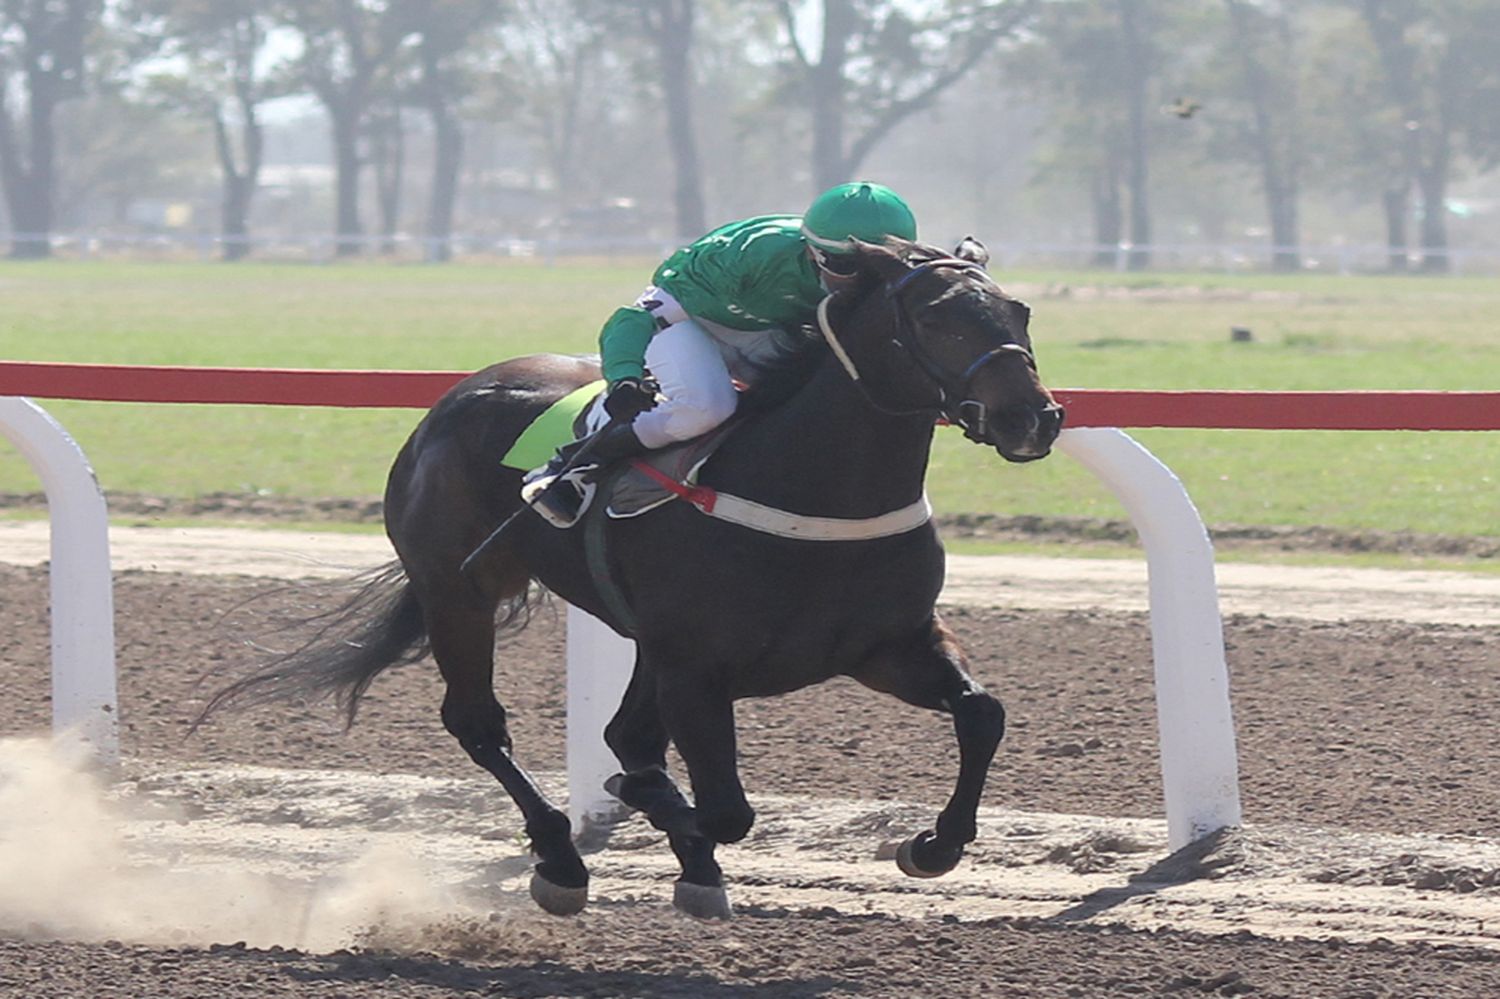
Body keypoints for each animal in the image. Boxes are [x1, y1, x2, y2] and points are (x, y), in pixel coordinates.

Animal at [199, 234, 1068, 918]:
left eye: (1019, 312)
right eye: (937, 318)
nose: (1034, 416)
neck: (815, 493)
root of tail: (452, 400)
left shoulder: (885, 644)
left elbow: (981, 712)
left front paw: (933, 843)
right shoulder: (696, 668)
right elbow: (722, 807)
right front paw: (646, 819)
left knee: (621, 733)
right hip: (458, 591)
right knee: (480, 723)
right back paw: (559, 857)